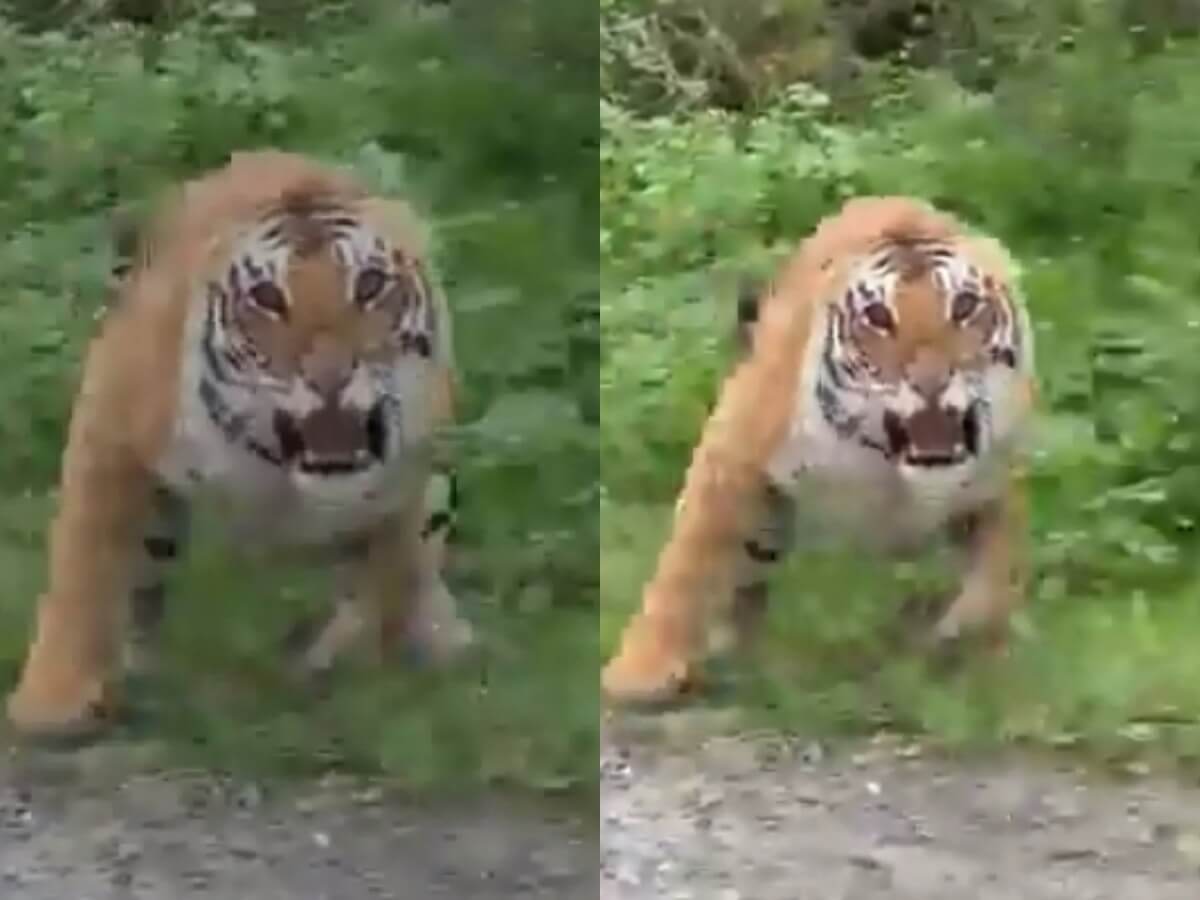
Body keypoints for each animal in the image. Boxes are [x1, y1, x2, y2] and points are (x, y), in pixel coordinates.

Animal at [7, 150, 475, 738]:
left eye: (368, 286)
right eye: (268, 298)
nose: (329, 376)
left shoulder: (410, 480)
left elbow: (395, 577)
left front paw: (384, 684)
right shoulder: (113, 427)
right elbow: (85, 572)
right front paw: (54, 705)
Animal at [602, 196, 1037, 704]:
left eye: (964, 308)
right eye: (878, 317)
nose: (930, 380)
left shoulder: (993, 482)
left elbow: (997, 575)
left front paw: (977, 647)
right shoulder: (737, 452)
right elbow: (686, 566)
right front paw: (638, 676)